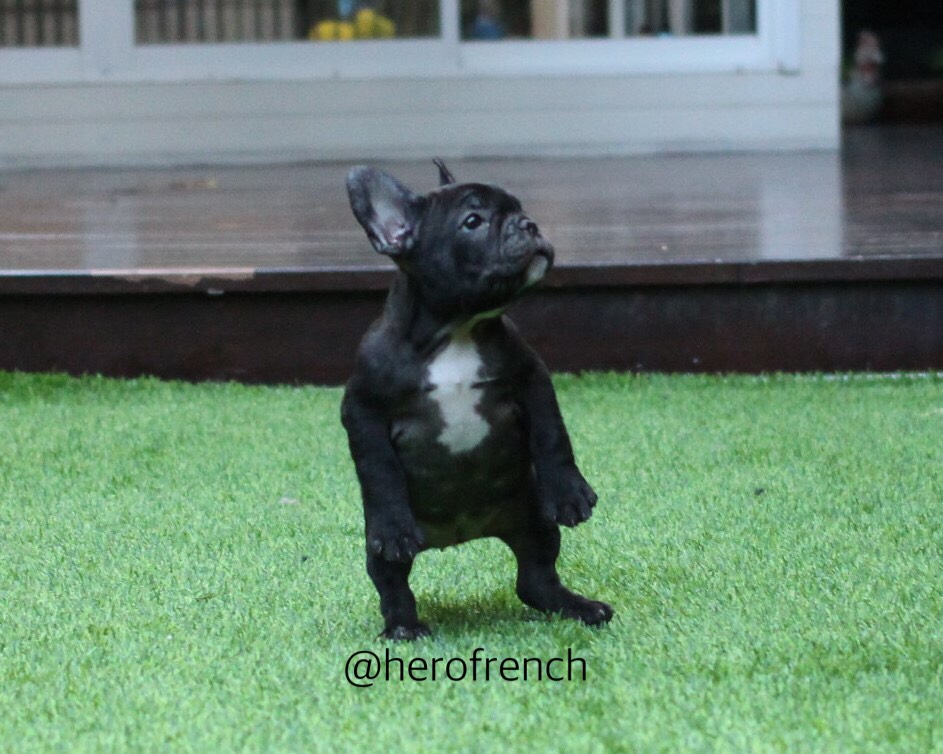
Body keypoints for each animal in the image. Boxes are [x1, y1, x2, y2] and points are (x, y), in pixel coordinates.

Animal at [342, 159, 613, 640]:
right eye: (472, 222)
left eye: (520, 208)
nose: (529, 224)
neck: (459, 329)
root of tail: (459, 534)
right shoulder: (361, 407)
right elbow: (378, 466)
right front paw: (393, 523)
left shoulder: (531, 379)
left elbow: (552, 436)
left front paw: (569, 492)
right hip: (380, 550)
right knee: (392, 583)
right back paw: (403, 627)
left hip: (533, 520)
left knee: (536, 578)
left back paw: (578, 607)